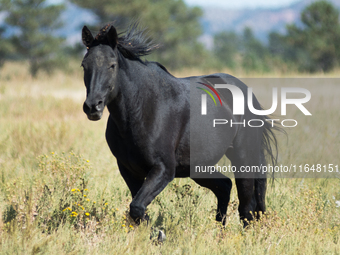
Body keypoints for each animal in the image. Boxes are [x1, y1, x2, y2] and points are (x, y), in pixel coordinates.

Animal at [81, 21, 278, 225]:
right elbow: (139, 211)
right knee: (225, 187)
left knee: (246, 208)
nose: (93, 106)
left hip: (242, 156)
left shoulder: (164, 169)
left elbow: (137, 207)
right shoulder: (129, 170)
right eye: (84, 65)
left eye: (112, 65)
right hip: (199, 167)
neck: (142, 109)